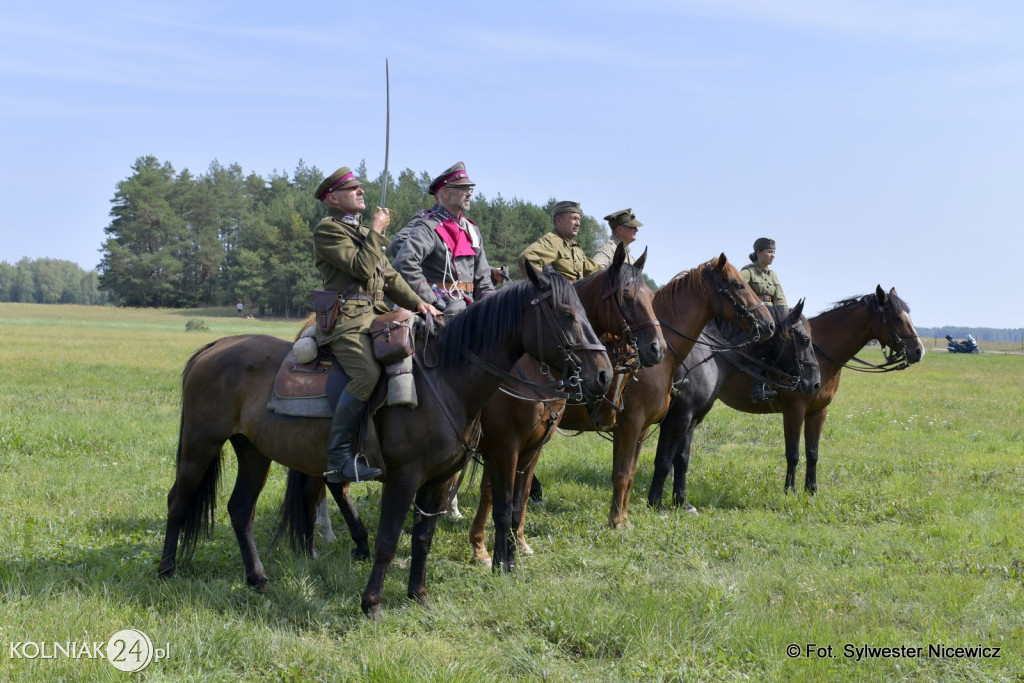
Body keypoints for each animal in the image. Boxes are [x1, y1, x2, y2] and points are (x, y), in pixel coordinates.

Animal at [155, 264, 610, 618]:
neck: (446, 379)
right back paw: (166, 571)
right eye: (566, 313)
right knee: (179, 501)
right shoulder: (409, 476)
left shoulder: (439, 480)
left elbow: (423, 538)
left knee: (240, 510)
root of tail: (215, 346)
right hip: (200, 445)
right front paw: (372, 603)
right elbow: (390, 539)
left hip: (254, 454)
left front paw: (419, 596)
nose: (603, 374)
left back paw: (258, 578)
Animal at [466, 253, 774, 565]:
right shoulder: (633, 425)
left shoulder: (644, 430)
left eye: (649, 297)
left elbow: (633, 471)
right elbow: (623, 473)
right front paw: (616, 521)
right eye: (738, 285)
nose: (769, 324)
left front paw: (624, 519)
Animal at [647, 282, 929, 507]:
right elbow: (792, 453)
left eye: (908, 314)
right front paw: (789, 491)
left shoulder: (818, 412)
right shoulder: (794, 411)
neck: (821, 354)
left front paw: (812, 490)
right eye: (896, 316)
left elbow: (813, 453)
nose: (918, 351)